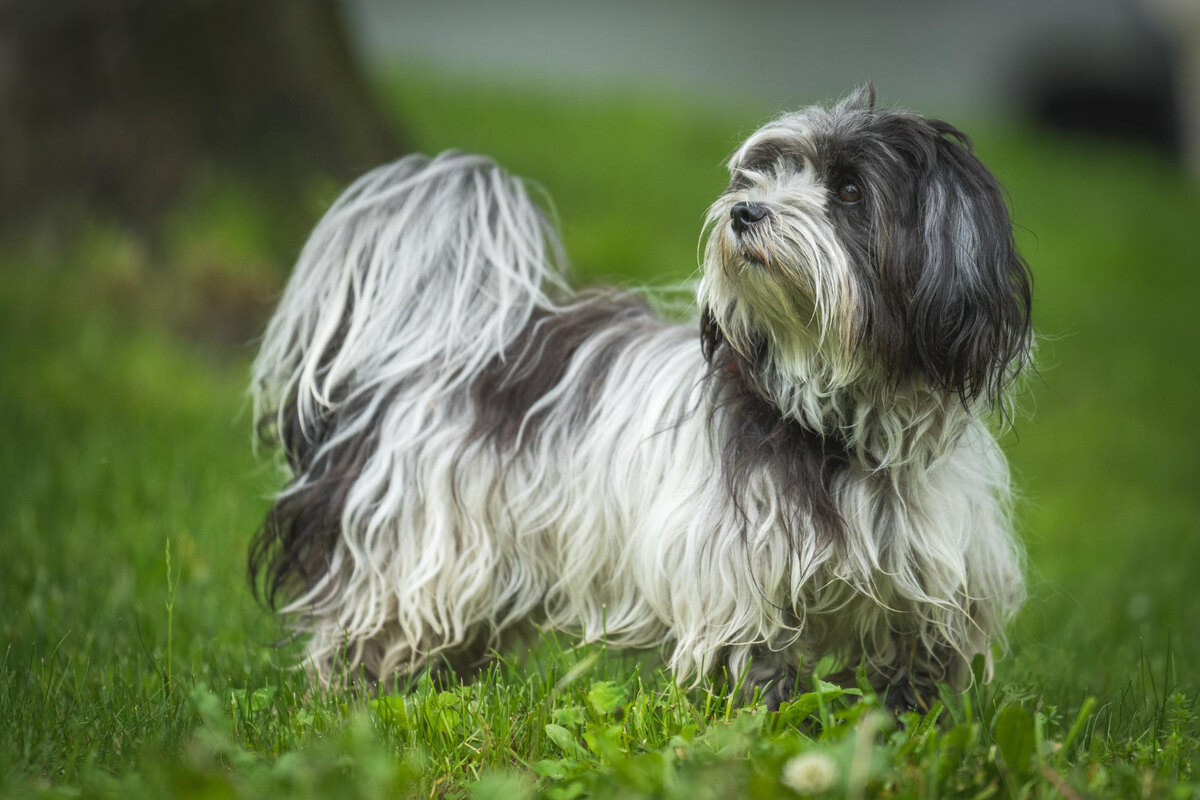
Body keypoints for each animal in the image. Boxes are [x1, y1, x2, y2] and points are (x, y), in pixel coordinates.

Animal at [250, 86, 1032, 714]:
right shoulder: (737, 581)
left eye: (847, 190)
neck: (837, 420)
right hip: (417, 552)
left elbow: (910, 678)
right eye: (766, 173)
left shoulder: (933, 585)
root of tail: (430, 345)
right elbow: (761, 673)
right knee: (368, 629)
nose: (745, 211)